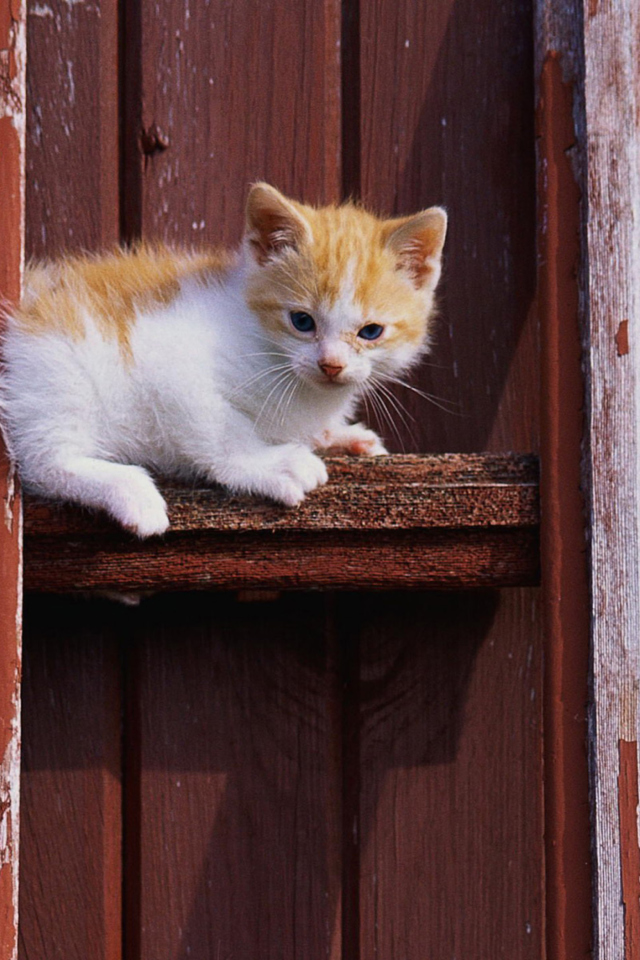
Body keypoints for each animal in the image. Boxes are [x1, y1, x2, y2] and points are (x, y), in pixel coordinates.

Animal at [0, 184, 448, 536]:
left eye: (371, 332)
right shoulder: (170, 364)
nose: (331, 365)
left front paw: (336, 435)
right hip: (58, 370)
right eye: (301, 321)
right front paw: (272, 464)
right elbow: (221, 430)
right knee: (45, 461)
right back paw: (131, 490)